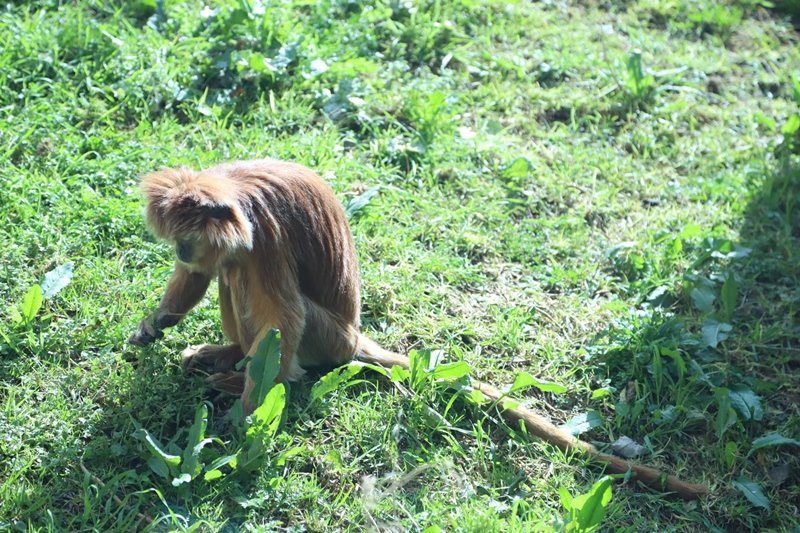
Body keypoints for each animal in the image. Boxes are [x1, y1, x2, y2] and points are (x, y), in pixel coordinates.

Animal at [130, 158, 708, 498]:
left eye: (184, 238)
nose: (182, 249)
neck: (234, 193)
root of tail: (351, 337)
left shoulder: (262, 236)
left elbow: (282, 315)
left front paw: (248, 421)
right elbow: (201, 276)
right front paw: (155, 325)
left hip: (323, 336)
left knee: (259, 297)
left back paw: (249, 373)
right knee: (229, 273)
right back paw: (227, 353)